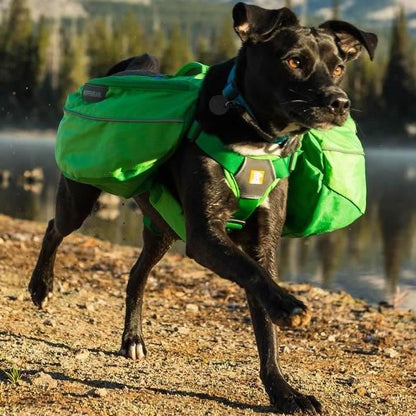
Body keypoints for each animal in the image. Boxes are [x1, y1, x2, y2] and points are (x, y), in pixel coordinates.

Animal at [27, 2, 376, 412]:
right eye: (294, 61)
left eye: (338, 67)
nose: (340, 102)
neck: (255, 138)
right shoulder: (206, 234)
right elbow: (252, 274)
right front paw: (287, 306)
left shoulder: (262, 241)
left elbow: (265, 324)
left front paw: (283, 391)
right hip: (80, 199)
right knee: (54, 227)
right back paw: (41, 286)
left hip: (161, 229)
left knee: (136, 275)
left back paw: (133, 338)